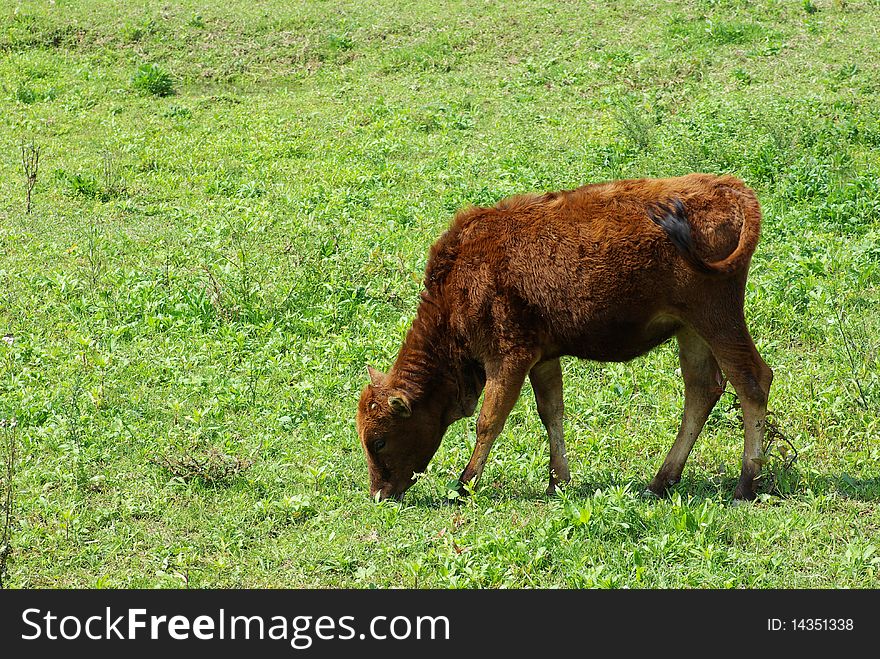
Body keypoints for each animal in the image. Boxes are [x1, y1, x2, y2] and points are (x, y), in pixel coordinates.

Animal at [356, 173, 768, 502]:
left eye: (379, 440)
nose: (379, 494)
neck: (460, 278)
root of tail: (729, 189)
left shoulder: (509, 359)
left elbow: (489, 421)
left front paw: (464, 484)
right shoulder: (543, 357)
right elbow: (551, 412)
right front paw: (558, 482)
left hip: (717, 320)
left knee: (752, 382)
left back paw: (745, 484)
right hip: (690, 331)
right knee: (702, 391)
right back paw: (660, 481)